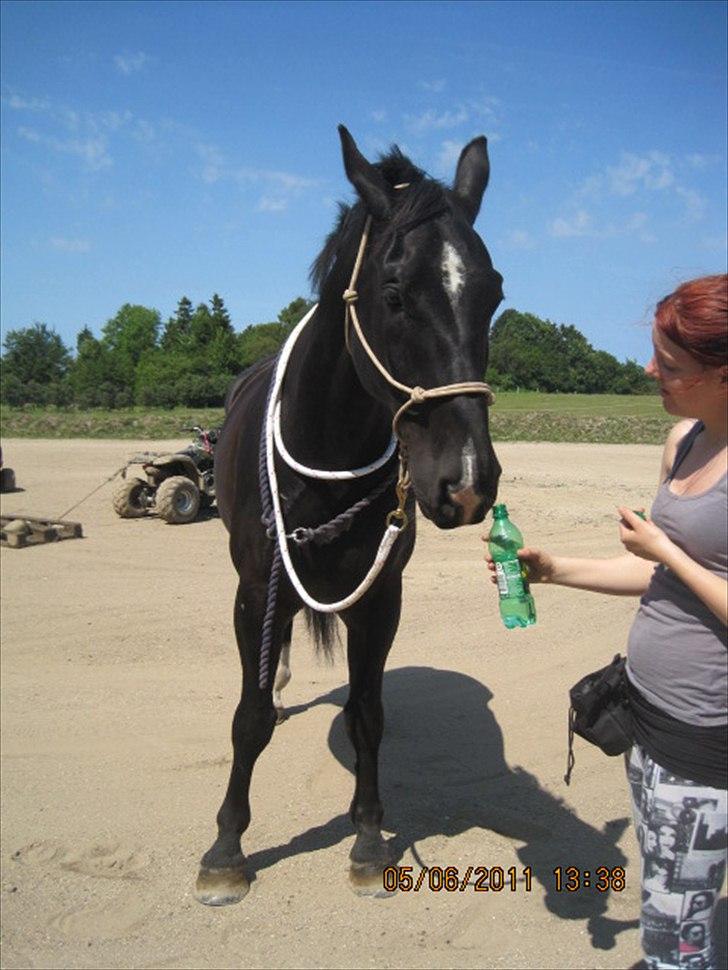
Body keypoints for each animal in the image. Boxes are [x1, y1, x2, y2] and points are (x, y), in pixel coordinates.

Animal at [199, 125, 506, 904]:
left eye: (493, 293)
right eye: (393, 293)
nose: (467, 480)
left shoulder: (381, 594)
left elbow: (368, 715)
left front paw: (368, 836)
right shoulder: (255, 590)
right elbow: (247, 718)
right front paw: (227, 846)